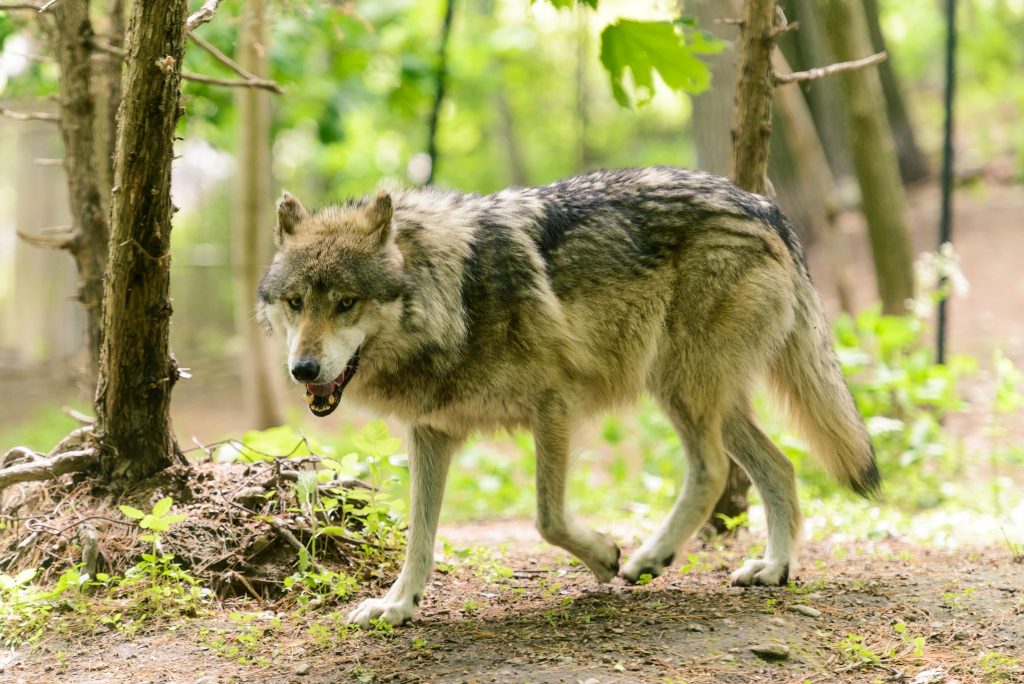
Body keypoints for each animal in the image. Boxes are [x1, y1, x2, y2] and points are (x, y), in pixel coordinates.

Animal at [258, 163, 880, 626]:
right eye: (295, 302)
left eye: (346, 303)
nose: (302, 369)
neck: (454, 294)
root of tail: (763, 206)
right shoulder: (431, 432)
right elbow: (421, 535)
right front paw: (397, 606)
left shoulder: (554, 405)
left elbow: (547, 519)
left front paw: (606, 555)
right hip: (706, 397)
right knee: (780, 466)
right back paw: (773, 569)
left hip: (680, 387)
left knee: (712, 471)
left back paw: (651, 557)